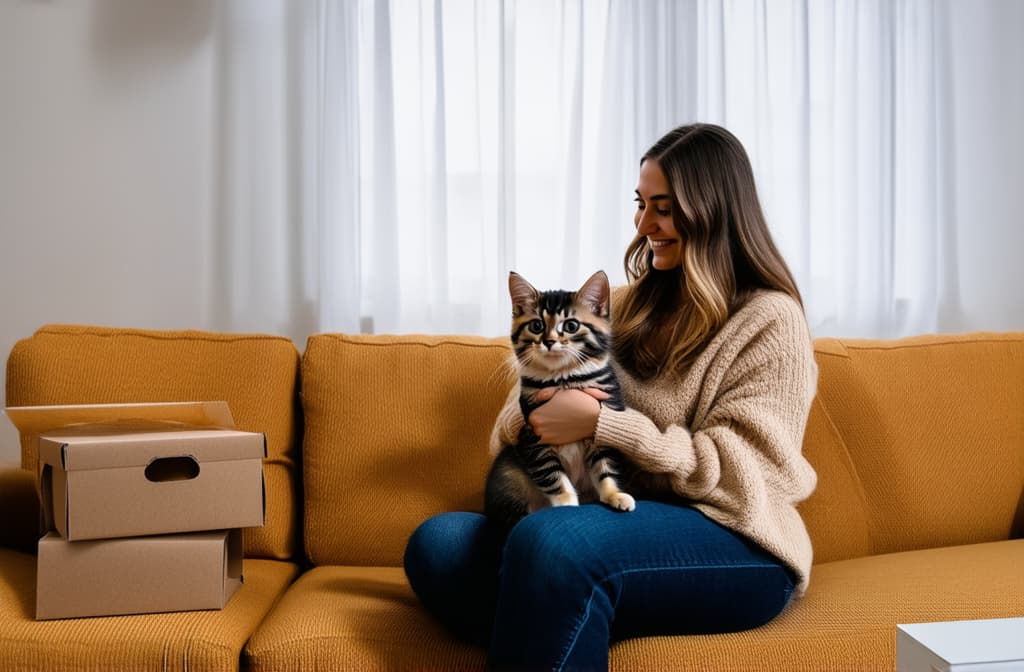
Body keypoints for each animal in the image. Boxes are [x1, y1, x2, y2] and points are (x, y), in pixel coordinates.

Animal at [483, 270, 634, 528]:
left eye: (571, 325)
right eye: (536, 325)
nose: (549, 341)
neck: (564, 379)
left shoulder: (602, 422)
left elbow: (606, 465)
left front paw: (614, 494)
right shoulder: (533, 436)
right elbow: (551, 473)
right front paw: (565, 503)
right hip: (508, 472)